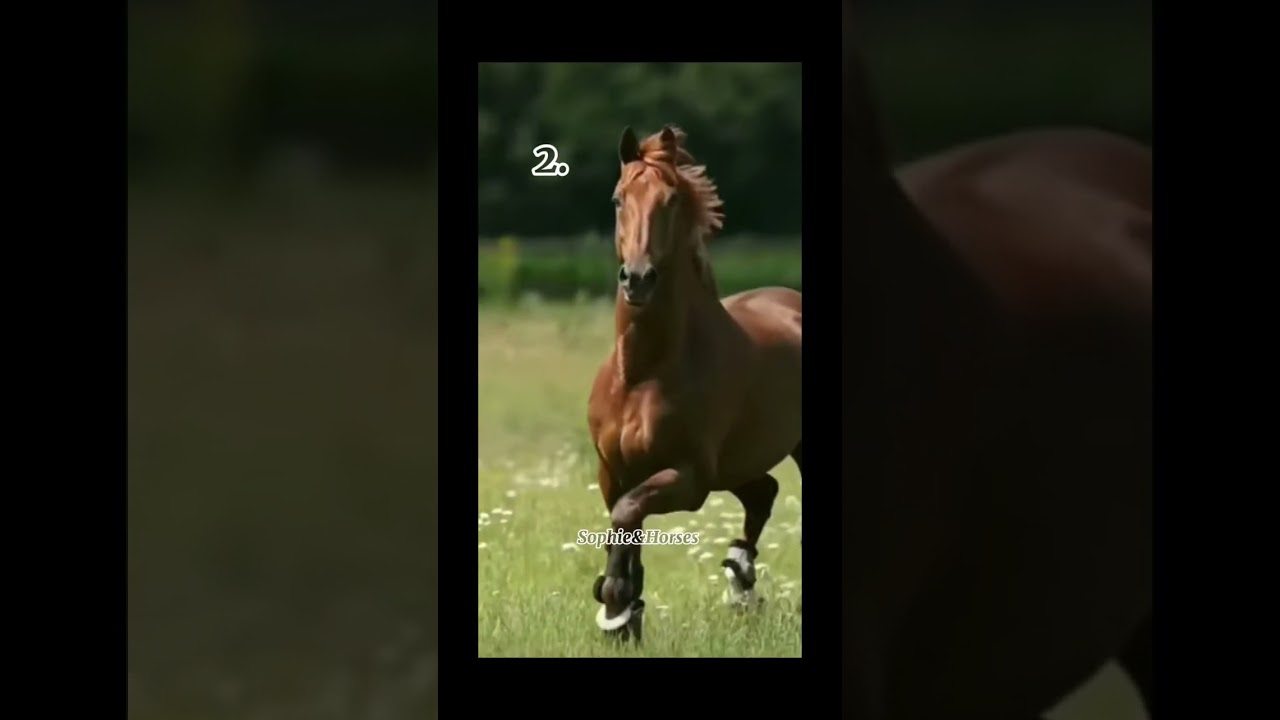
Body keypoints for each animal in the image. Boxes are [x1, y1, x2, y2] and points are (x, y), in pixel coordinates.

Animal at [586, 125, 803, 641]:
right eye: (619, 198)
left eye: (670, 201)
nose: (637, 279)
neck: (641, 374)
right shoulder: (614, 471)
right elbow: (624, 526)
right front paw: (625, 616)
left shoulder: (690, 477)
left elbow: (627, 513)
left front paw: (615, 604)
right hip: (737, 463)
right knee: (763, 492)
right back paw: (741, 582)